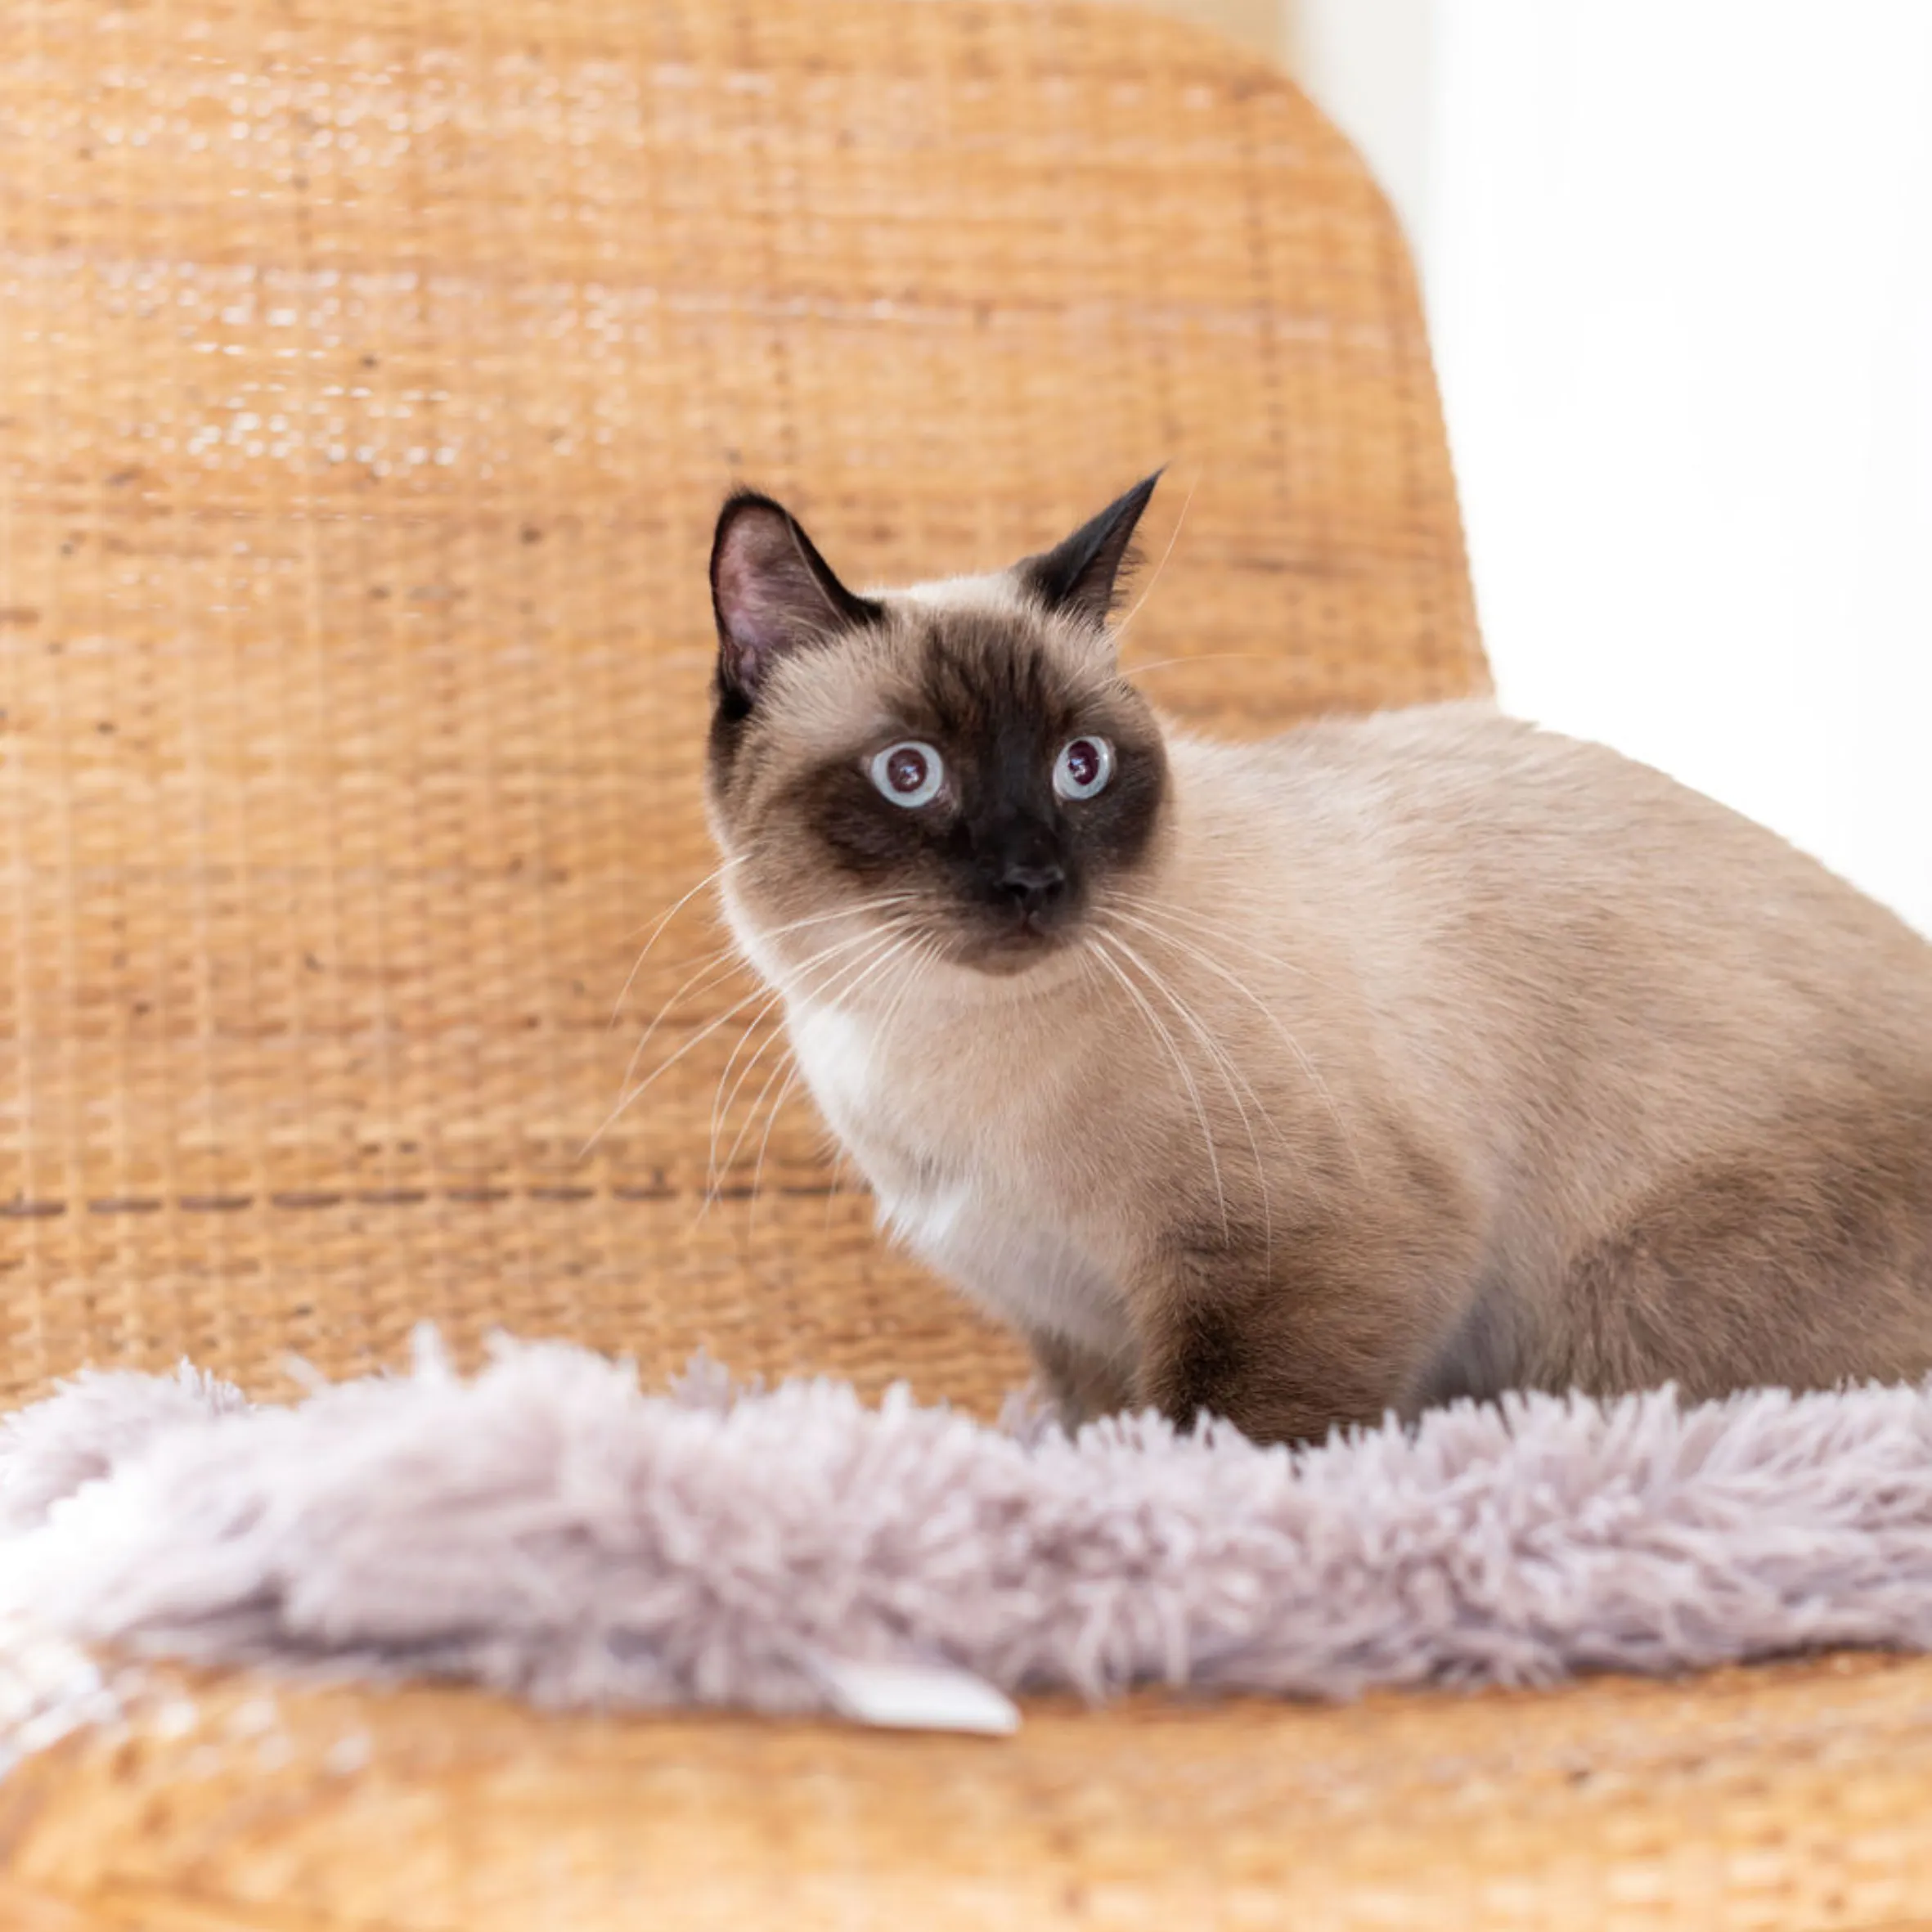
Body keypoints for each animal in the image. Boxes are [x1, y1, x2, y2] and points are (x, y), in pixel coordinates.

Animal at [703, 475, 1932, 1445]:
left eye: (1078, 767)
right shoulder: (1073, 1329)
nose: (1030, 882)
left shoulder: (1300, 1260)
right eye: (908, 774)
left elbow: (1217, 1436)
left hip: (1615, 1319)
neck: (936, 1054)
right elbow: (1096, 1435)